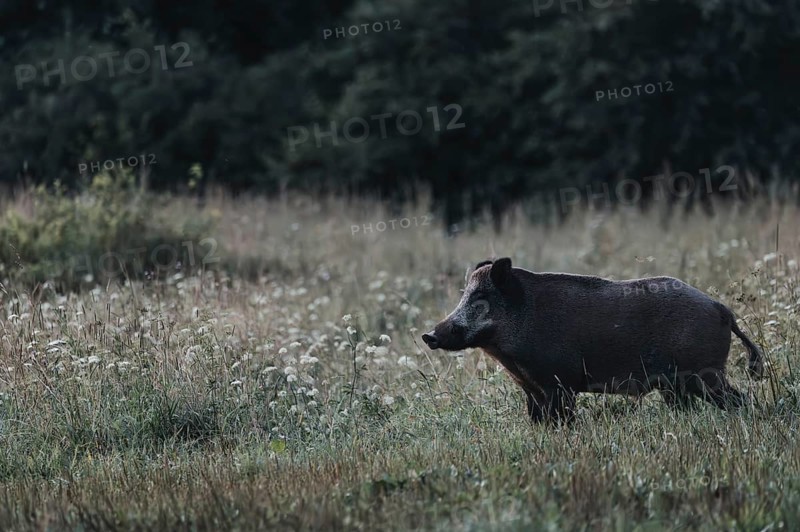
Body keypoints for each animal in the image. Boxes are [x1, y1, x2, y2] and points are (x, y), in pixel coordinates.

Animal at [422, 258, 764, 423]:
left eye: (480, 298)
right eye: (464, 294)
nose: (429, 335)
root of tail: (721, 309)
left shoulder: (560, 384)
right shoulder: (531, 390)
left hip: (705, 374)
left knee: (741, 399)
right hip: (679, 385)